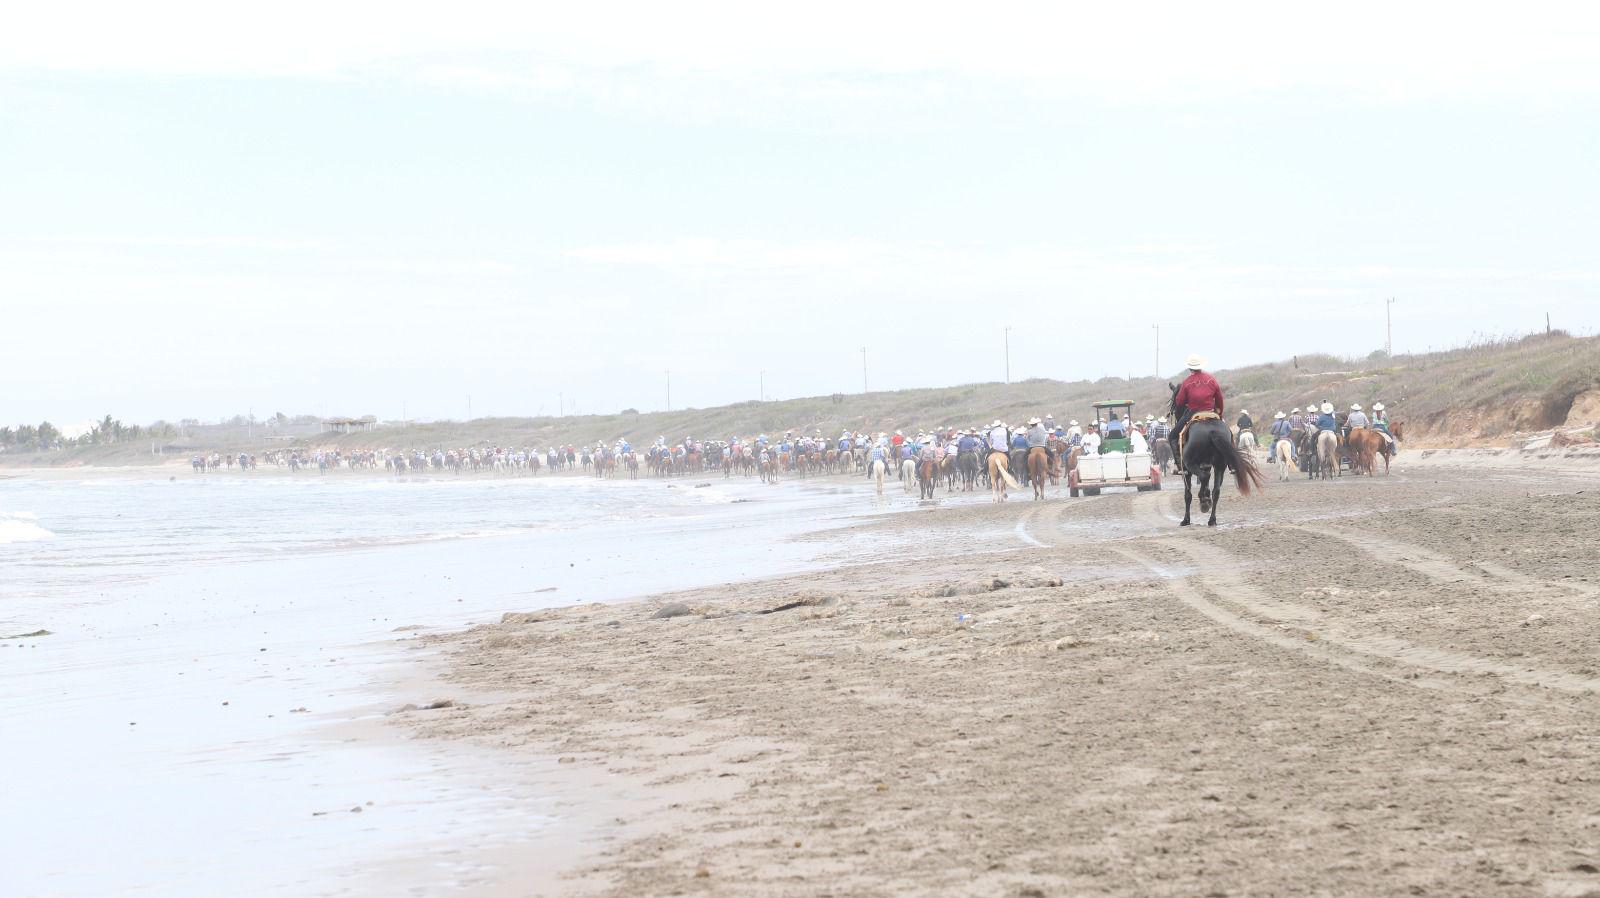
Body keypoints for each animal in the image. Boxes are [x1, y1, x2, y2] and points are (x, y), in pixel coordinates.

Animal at [1171, 384, 1267, 525]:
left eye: (1174, 400)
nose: (1173, 411)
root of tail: (1211, 430)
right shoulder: (1206, 465)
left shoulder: (1186, 471)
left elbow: (1188, 494)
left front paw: (1186, 520)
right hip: (1220, 465)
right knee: (1216, 490)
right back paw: (1212, 517)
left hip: (1190, 463)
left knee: (1204, 477)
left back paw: (1205, 503)